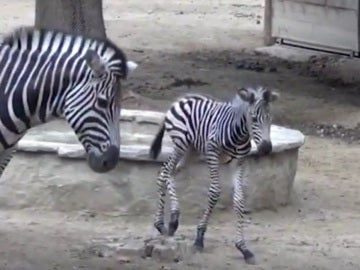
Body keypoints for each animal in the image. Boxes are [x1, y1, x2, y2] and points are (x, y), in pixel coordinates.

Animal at [149, 86, 278, 264]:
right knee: (163, 173)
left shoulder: (238, 162)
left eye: (270, 118)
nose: (266, 149)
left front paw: (243, 248)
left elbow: (239, 200)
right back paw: (161, 224)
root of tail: (183, 98)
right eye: (253, 119)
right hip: (180, 143)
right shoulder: (212, 154)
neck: (238, 134)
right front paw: (199, 238)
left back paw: (174, 219)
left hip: (191, 150)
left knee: (171, 172)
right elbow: (214, 193)